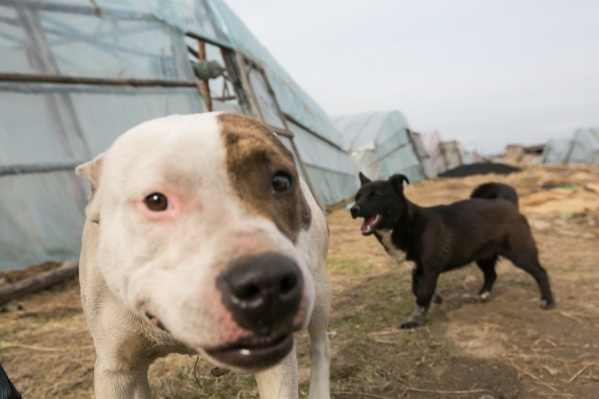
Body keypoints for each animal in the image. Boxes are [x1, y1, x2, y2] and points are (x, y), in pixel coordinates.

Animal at [75, 112, 332, 399]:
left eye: (281, 182)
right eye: (155, 201)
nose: (267, 281)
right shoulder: (119, 371)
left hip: (318, 288)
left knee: (321, 344)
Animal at [350, 173, 556, 330]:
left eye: (375, 195)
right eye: (357, 196)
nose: (353, 209)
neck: (406, 223)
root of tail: (507, 203)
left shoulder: (429, 270)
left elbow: (421, 296)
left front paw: (415, 320)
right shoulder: (418, 271)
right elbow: (417, 291)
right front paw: (435, 298)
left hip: (521, 253)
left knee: (541, 273)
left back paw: (548, 301)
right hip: (482, 256)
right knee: (491, 275)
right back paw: (481, 296)